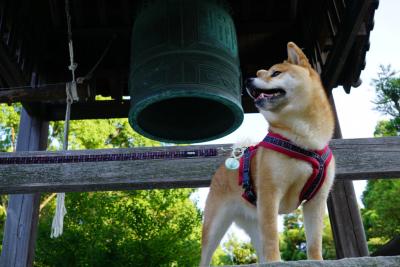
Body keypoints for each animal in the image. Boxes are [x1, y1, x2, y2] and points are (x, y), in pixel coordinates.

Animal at [199, 42, 334, 266]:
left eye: (276, 73)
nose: (247, 80)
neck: (304, 140)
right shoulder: (270, 193)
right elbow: (272, 236)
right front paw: (275, 261)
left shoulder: (316, 200)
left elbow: (315, 240)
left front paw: (317, 260)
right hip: (216, 224)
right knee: (206, 256)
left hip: (253, 219)